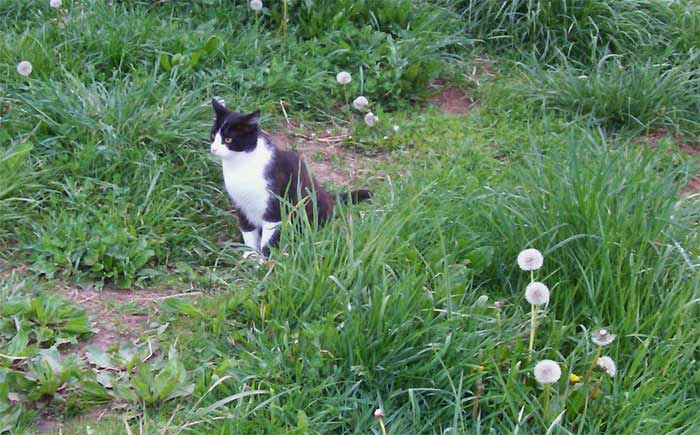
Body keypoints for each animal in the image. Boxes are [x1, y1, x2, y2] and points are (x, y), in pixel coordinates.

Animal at [208, 99, 372, 255]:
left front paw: (263, 260)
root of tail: (326, 194)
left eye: (228, 140)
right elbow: (248, 232)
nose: (213, 148)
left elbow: (268, 238)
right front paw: (249, 255)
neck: (240, 165)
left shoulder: (275, 205)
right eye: (213, 136)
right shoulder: (241, 204)